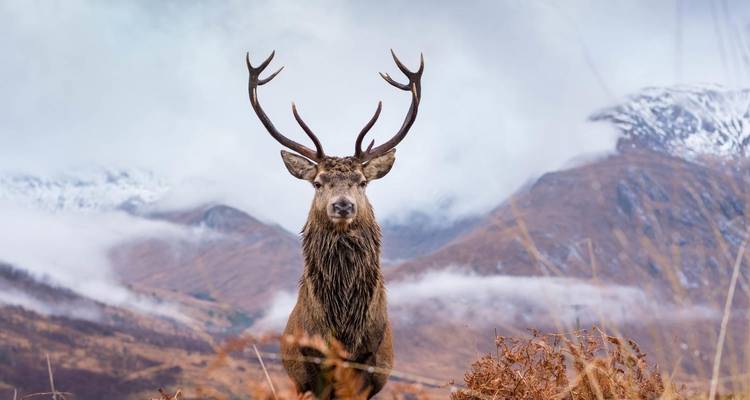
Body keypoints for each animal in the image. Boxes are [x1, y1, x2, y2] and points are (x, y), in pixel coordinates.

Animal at [245, 50, 423, 398]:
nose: (342, 205)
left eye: (363, 182)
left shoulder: (368, 370)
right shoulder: (309, 371)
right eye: (318, 182)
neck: (343, 333)